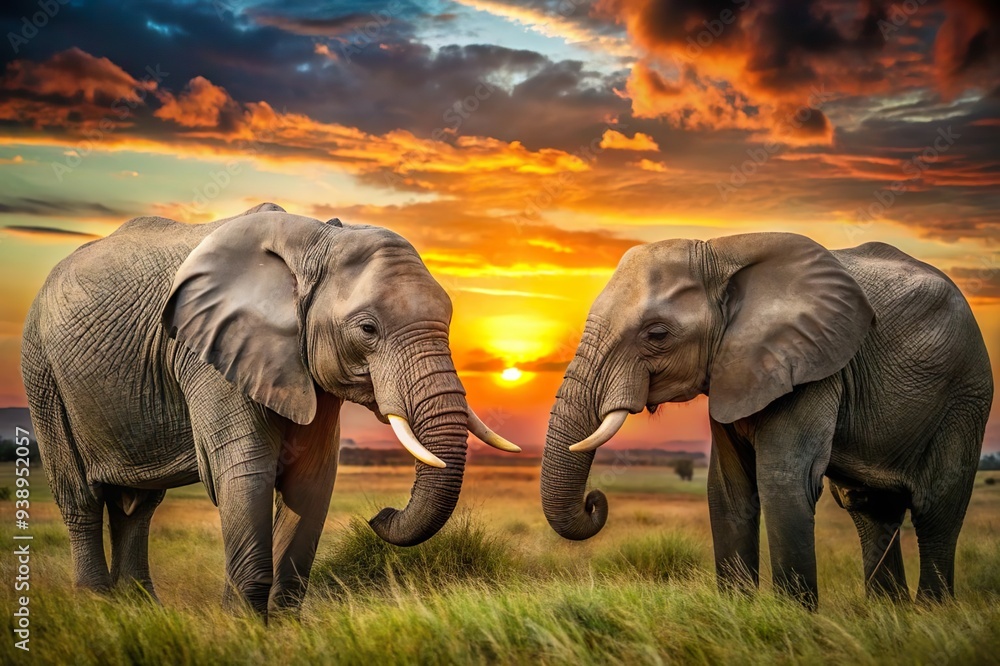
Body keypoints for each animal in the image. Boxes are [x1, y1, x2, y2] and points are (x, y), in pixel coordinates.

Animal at [20, 203, 518, 617]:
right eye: (368, 329)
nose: (380, 515)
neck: (316, 242)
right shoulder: (210, 351)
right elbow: (245, 470)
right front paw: (241, 625)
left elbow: (313, 480)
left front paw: (281, 625)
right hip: (41, 372)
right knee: (81, 498)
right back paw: (96, 607)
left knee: (138, 504)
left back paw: (140, 610)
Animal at [539, 232, 993, 609]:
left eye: (657, 334)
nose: (594, 499)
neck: (721, 253)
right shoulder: (734, 368)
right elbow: (728, 489)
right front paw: (736, 611)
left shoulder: (810, 366)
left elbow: (784, 481)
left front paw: (794, 617)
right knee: (869, 510)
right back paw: (888, 612)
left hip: (966, 395)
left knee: (937, 506)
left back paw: (930, 612)